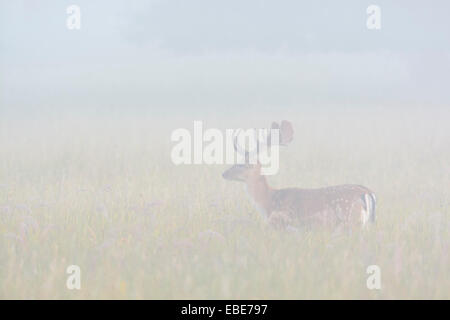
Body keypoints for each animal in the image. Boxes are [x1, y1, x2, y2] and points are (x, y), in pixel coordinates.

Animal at [222, 120, 376, 230]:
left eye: (241, 164)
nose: (224, 173)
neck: (268, 201)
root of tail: (367, 191)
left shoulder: (282, 223)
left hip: (351, 219)